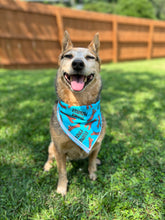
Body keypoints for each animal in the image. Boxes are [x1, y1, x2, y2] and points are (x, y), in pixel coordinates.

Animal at [43, 31, 105, 196]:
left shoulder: (97, 144)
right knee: (50, 156)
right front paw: (62, 188)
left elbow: (91, 161)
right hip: (51, 145)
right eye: (68, 56)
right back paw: (47, 166)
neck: (79, 106)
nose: (77, 63)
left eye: (90, 57)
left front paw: (92, 172)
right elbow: (62, 171)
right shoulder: (59, 148)